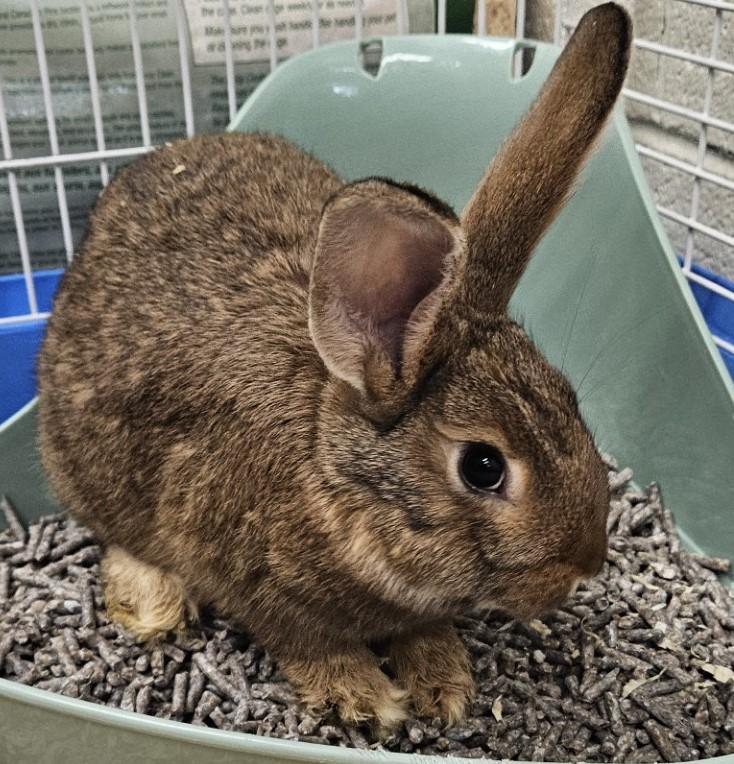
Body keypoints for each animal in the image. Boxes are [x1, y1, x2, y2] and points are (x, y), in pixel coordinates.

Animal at [37, 2, 631, 731]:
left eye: (570, 401)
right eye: (483, 466)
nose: (586, 565)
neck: (333, 472)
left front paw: (444, 685)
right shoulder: (256, 586)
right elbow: (307, 643)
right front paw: (365, 699)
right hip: (84, 471)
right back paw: (151, 604)